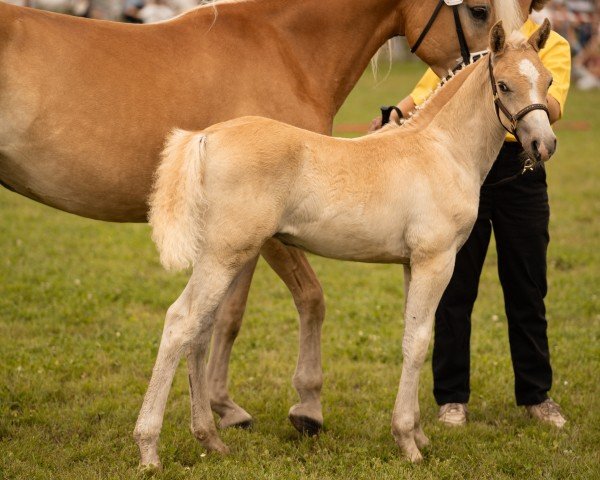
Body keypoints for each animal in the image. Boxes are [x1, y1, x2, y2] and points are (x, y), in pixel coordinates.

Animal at [144, 20, 552, 466]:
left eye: (548, 80)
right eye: (505, 85)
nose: (544, 145)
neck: (441, 150)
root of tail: (207, 137)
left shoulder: (412, 264)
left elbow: (413, 336)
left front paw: (419, 433)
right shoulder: (436, 261)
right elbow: (418, 342)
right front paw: (408, 442)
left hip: (224, 258)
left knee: (199, 332)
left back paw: (210, 438)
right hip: (225, 256)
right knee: (180, 323)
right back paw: (149, 448)